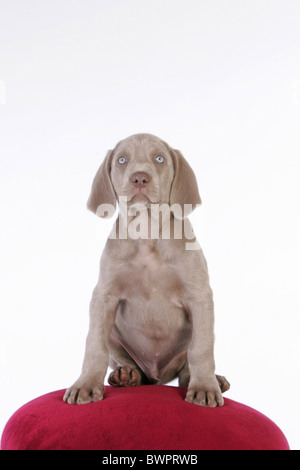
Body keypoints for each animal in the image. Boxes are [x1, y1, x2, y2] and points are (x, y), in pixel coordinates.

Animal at [63, 133, 230, 408]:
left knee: (187, 367)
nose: (139, 178)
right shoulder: (103, 297)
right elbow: (94, 345)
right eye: (121, 160)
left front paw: (205, 387)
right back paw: (126, 375)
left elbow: (202, 349)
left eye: (159, 158)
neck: (146, 232)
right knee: (125, 361)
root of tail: (157, 377)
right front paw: (85, 384)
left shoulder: (200, 296)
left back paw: (212, 380)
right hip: (116, 336)